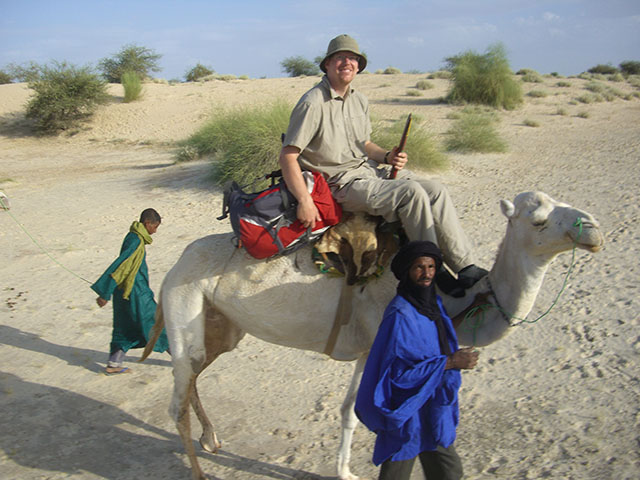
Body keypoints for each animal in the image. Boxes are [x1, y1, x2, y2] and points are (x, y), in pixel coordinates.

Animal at [141, 191, 604, 480]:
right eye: (539, 220)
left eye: (561, 203)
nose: (593, 228)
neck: (449, 297)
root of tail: (175, 264)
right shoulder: (383, 343)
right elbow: (363, 410)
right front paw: (351, 469)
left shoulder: (370, 349)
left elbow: (352, 409)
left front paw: (346, 468)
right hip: (184, 302)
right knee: (178, 395)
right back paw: (200, 469)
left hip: (222, 324)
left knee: (194, 374)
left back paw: (212, 438)